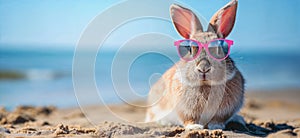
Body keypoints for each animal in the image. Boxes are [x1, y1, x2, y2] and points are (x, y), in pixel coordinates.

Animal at [146, 0, 246, 130]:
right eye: (190, 49)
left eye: (220, 48)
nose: (204, 68)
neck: (205, 85)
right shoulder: (185, 110)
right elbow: (189, 119)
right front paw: (195, 127)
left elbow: (218, 119)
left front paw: (216, 126)